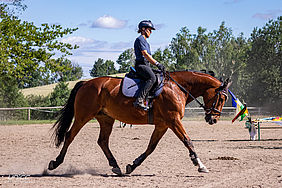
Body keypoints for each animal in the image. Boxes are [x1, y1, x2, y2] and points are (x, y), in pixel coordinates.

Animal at [47, 70, 230, 175]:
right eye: (222, 98)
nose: (213, 119)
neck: (177, 87)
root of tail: (86, 83)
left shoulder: (163, 125)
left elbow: (151, 147)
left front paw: (132, 166)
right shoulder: (173, 120)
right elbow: (188, 141)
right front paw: (200, 165)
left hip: (106, 119)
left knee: (102, 141)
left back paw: (116, 166)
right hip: (83, 116)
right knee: (70, 136)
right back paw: (55, 163)